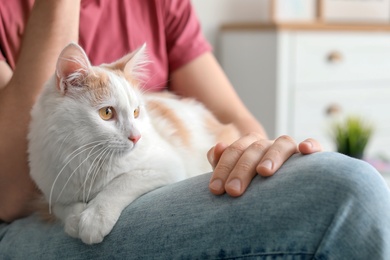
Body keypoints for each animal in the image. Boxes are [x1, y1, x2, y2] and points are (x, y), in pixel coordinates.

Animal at [27, 42, 239, 244]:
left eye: (136, 112)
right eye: (106, 113)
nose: (136, 137)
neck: (89, 159)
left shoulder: (166, 166)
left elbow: (121, 182)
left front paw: (95, 217)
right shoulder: (52, 189)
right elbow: (61, 207)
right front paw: (74, 219)